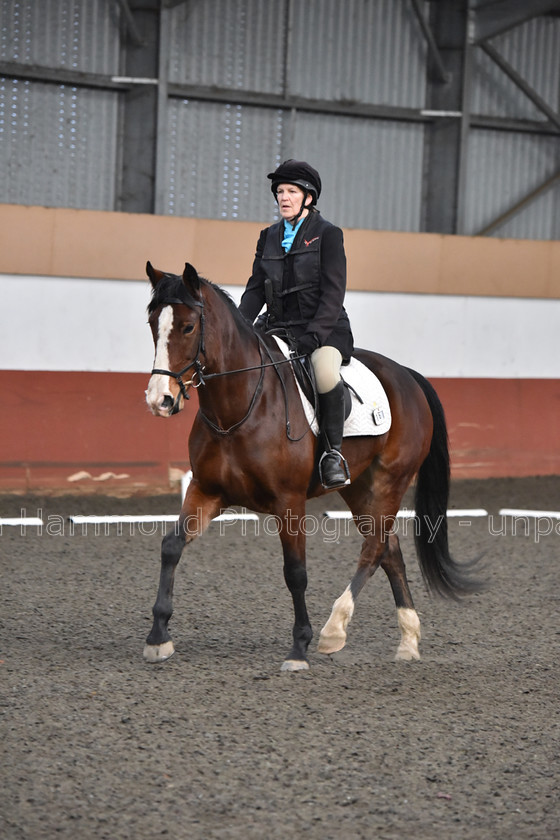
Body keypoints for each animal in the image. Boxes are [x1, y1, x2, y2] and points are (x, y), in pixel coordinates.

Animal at [142, 262, 480, 668]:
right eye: (152, 324)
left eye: (188, 327)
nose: (159, 400)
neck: (238, 408)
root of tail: (406, 375)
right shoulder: (206, 490)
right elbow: (171, 546)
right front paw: (158, 637)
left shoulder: (289, 501)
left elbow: (295, 572)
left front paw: (299, 648)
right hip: (358, 486)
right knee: (389, 547)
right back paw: (408, 641)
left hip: (391, 479)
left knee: (375, 548)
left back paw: (334, 630)